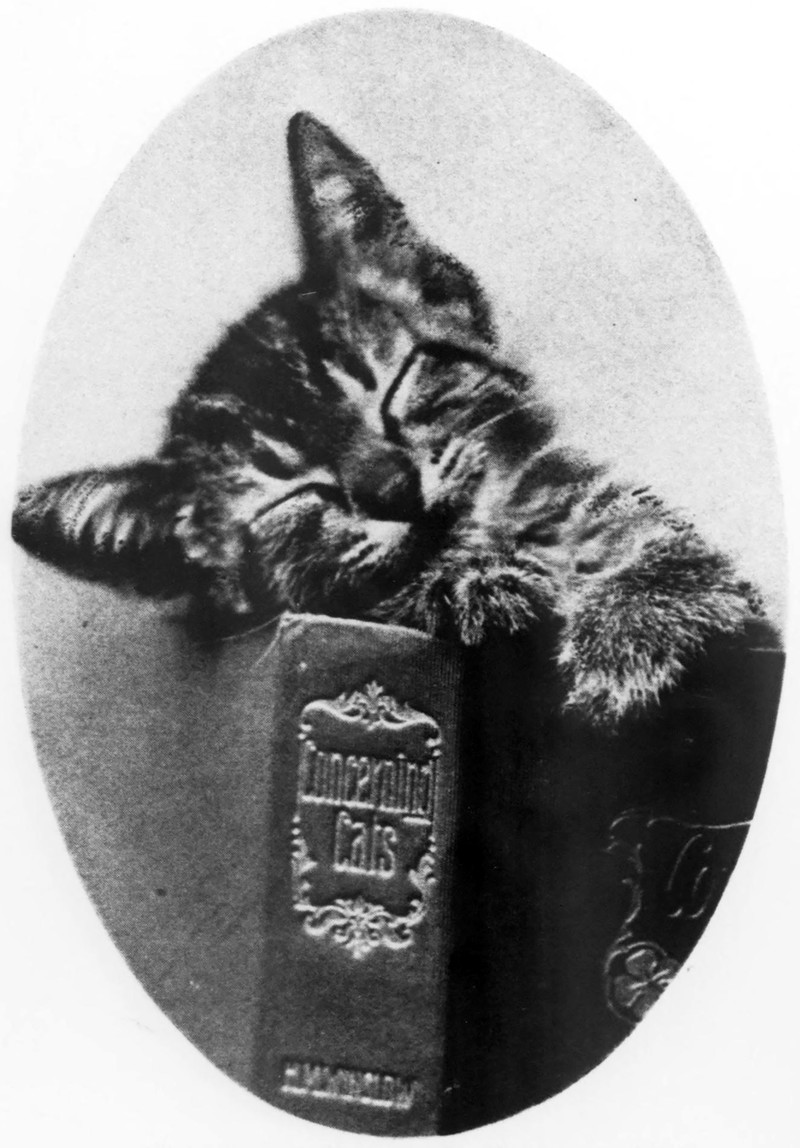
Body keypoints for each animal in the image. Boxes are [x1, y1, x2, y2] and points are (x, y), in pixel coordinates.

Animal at [12, 112, 775, 726]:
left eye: (395, 382)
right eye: (296, 496)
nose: (395, 491)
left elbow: (668, 548)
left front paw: (634, 623)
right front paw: (470, 587)